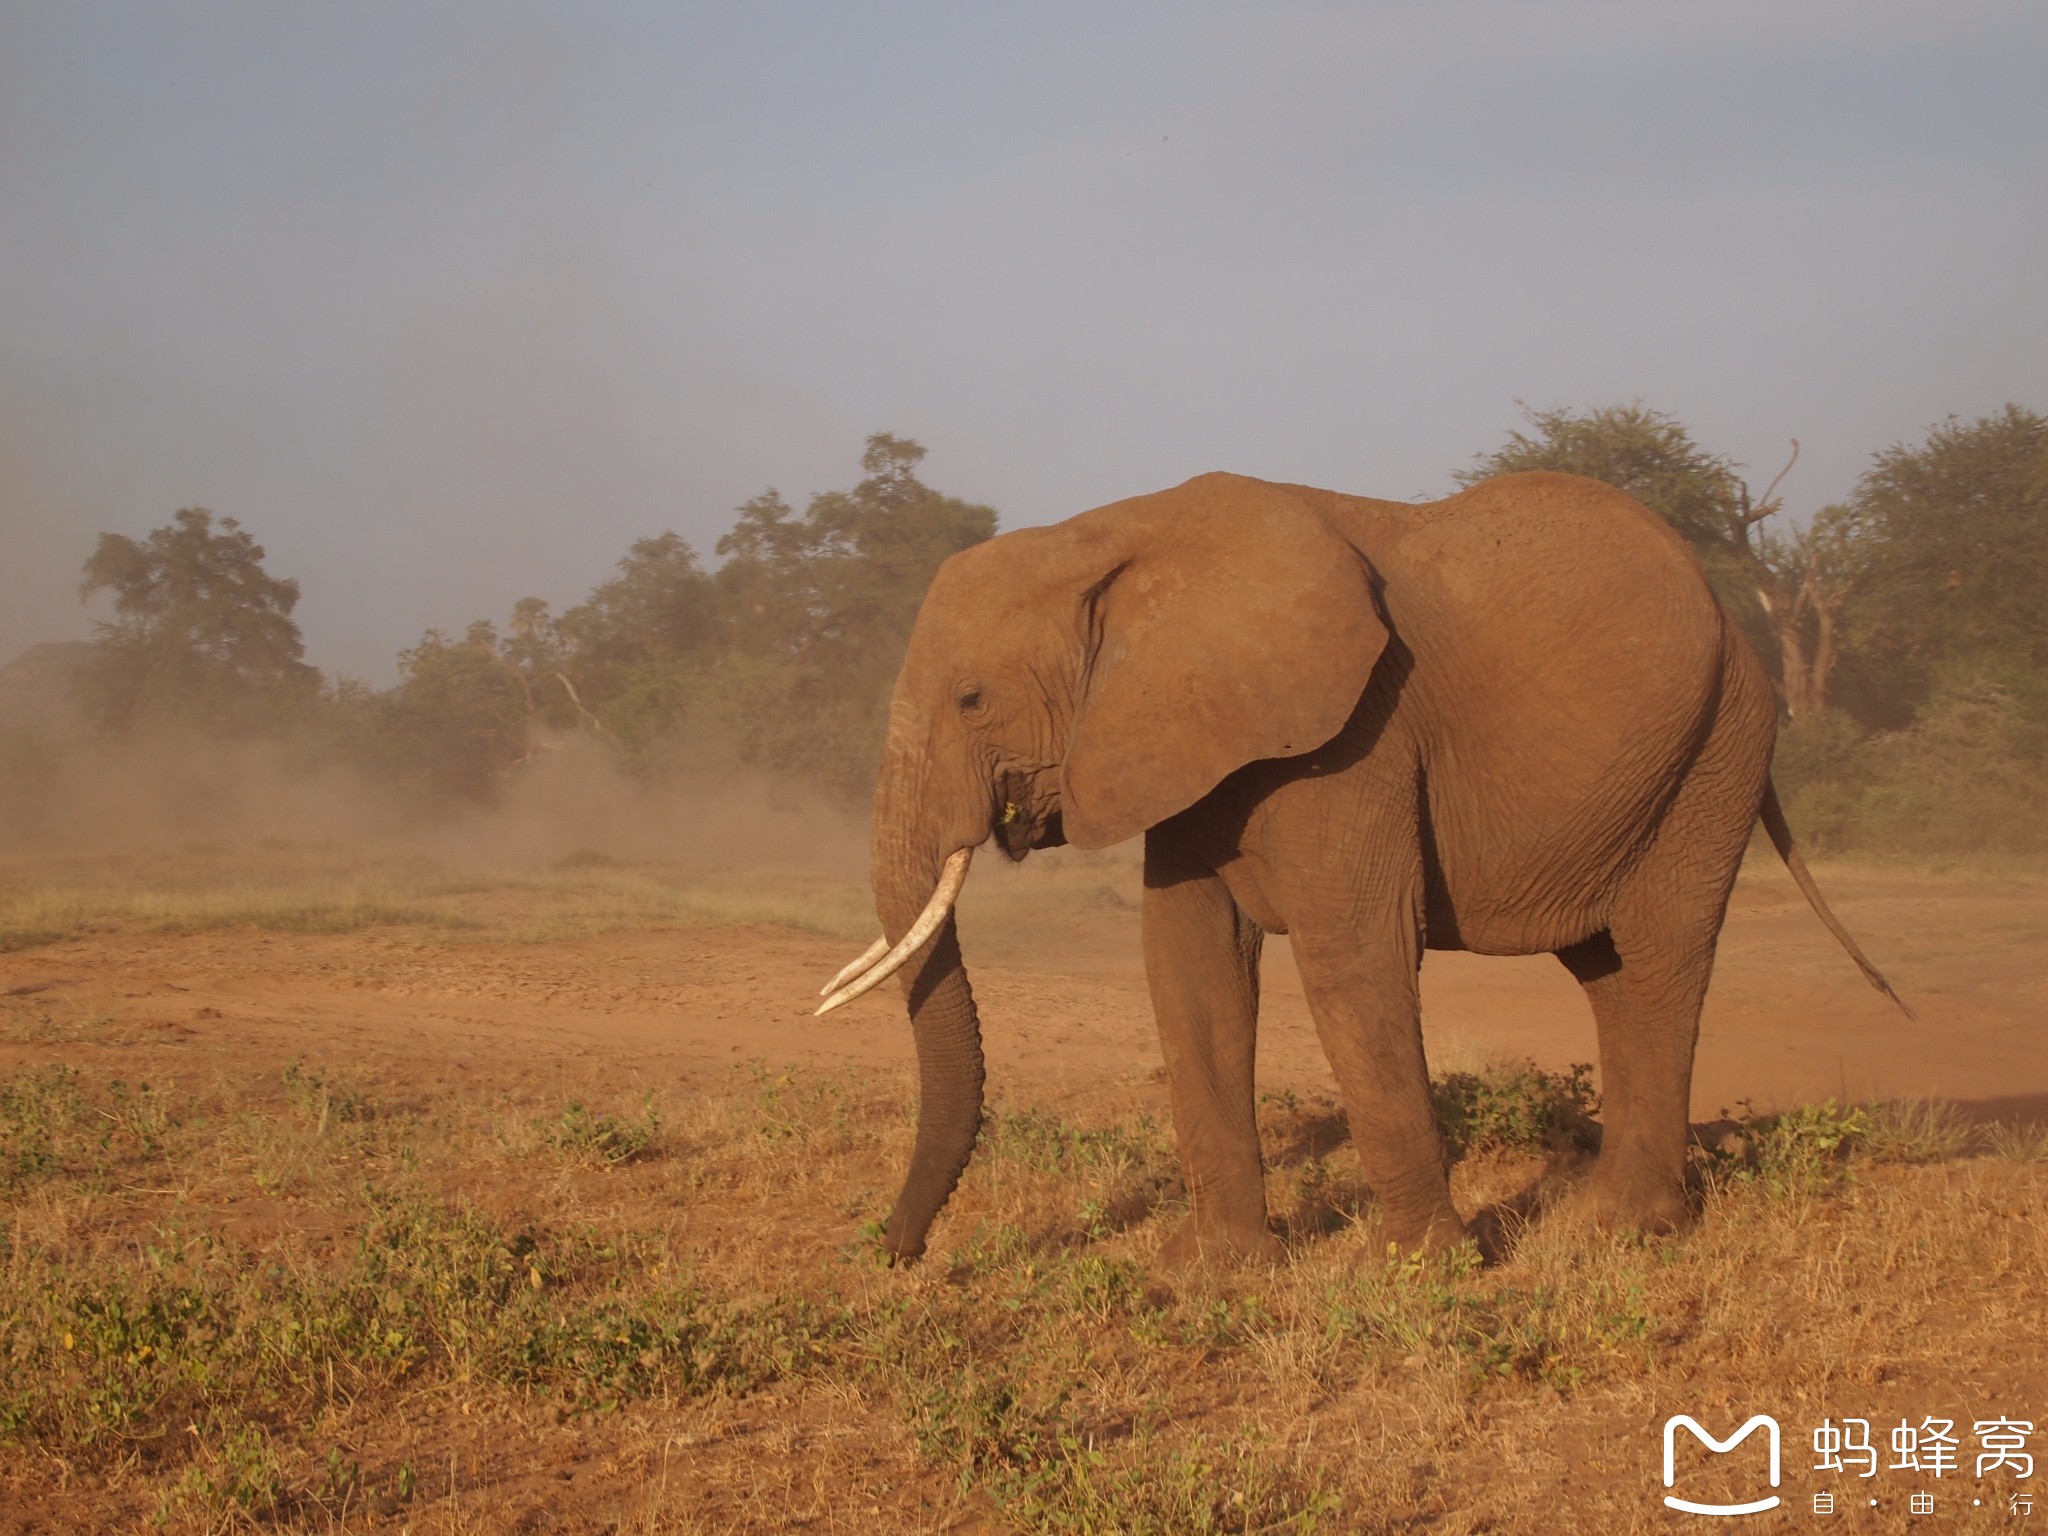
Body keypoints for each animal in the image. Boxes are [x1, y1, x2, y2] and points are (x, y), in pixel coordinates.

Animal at [815, 468, 1900, 1261]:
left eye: (970, 699)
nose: (893, 1255)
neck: (1112, 538)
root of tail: (1738, 630)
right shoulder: (1190, 739)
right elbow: (1188, 960)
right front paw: (1215, 1276)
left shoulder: (1355, 733)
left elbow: (1353, 952)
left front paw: (1422, 1272)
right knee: (1610, 971)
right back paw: (1613, 1220)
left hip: (1715, 753)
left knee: (1662, 953)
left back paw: (1628, 1231)